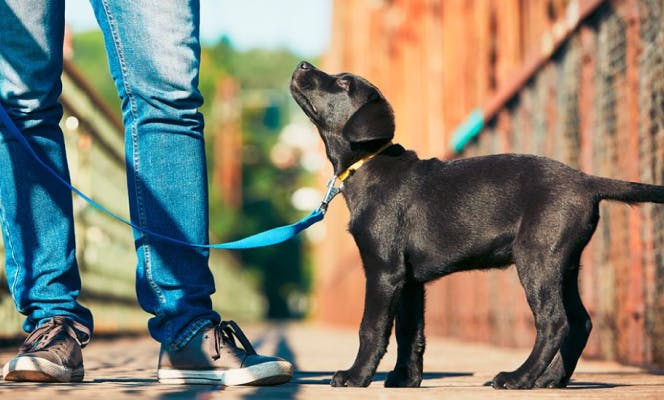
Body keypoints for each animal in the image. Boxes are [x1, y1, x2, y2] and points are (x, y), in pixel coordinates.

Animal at [290, 61, 664, 390]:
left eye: (343, 83)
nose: (303, 64)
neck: (368, 164)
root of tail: (586, 181)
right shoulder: (409, 281)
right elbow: (410, 333)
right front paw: (404, 379)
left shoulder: (384, 270)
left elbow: (372, 328)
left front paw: (355, 376)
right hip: (565, 263)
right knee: (580, 322)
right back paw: (551, 379)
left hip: (537, 258)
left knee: (554, 322)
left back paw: (518, 378)